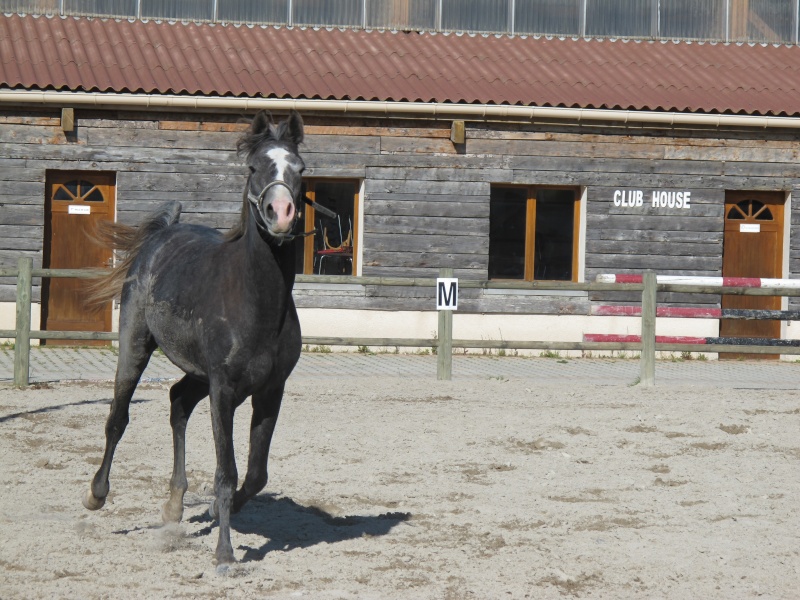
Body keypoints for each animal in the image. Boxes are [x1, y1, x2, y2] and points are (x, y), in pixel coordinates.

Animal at [82, 110, 306, 564]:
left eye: (300, 169)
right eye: (253, 167)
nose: (281, 213)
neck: (256, 301)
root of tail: (160, 236)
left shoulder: (270, 390)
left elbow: (255, 474)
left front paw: (218, 513)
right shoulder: (224, 390)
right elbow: (227, 472)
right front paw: (224, 554)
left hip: (198, 375)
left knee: (178, 403)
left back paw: (174, 505)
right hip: (136, 346)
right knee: (118, 417)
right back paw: (97, 494)